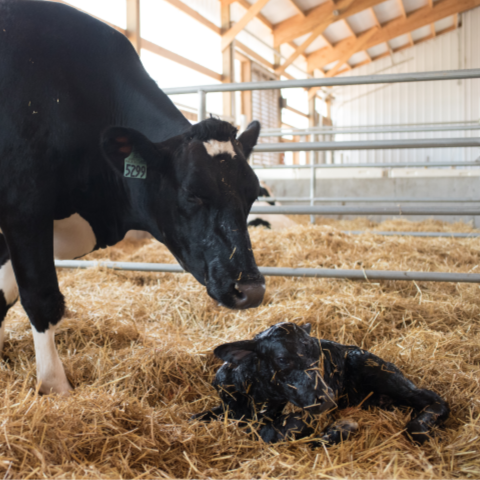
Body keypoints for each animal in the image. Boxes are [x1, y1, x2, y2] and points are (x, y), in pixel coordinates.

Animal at [0, 1, 262, 396]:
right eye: (191, 193)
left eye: (253, 194)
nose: (251, 289)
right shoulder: (23, 209)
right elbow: (41, 298)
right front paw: (56, 387)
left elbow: (4, 294)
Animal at [193, 322, 448, 446]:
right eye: (282, 359)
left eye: (318, 356)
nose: (327, 398)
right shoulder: (228, 406)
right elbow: (195, 418)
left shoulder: (308, 415)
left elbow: (269, 433)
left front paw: (338, 430)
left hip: (378, 371)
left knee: (433, 398)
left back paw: (419, 427)